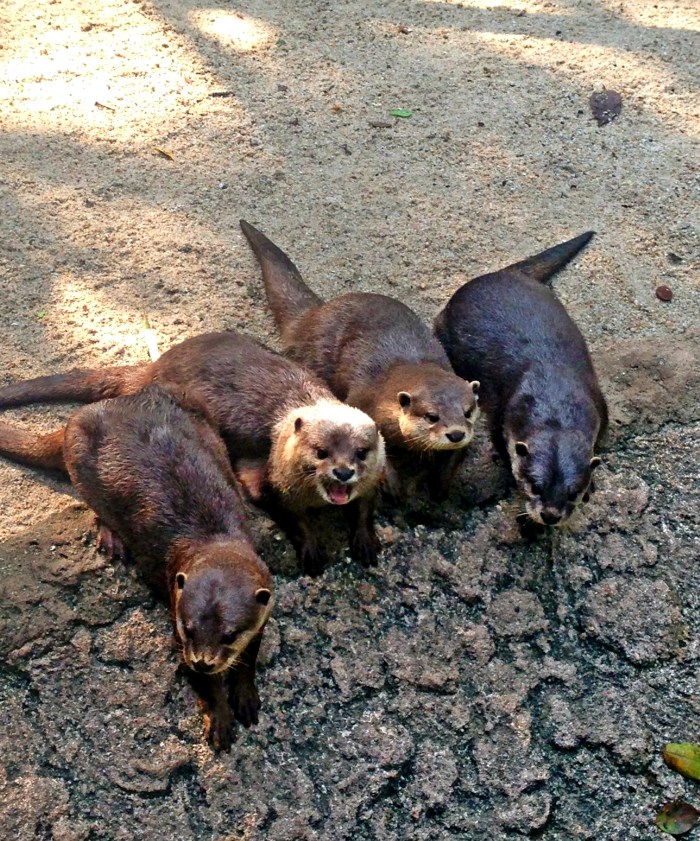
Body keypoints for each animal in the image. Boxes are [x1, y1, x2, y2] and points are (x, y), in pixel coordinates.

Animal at [0, 331, 386, 574]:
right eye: (321, 452)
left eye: (361, 452)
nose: (342, 472)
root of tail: (153, 369)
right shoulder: (267, 479)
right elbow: (287, 513)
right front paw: (310, 548)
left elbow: (366, 504)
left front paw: (365, 538)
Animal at [0, 384, 273, 751]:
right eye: (188, 629)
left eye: (229, 634)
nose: (203, 662)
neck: (213, 536)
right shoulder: (175, 607)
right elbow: (204, 683)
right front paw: (218, 717)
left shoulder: (263, 609)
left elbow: (250, 656)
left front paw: (244, 694)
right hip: (80, 455)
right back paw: (111, 538)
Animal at [240, 220, 480, 501]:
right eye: (432, 416)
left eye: (468, 412)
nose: (456, 433)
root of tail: (313, 316)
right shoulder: (363, 402)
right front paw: (392, 483)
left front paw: (439, 486)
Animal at [434, 231, 607, 526]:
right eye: (535, 486)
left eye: (573, 491)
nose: (550, 515)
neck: (554, 398)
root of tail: (499, 273)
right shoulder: (501, 413)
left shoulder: (598, 401)